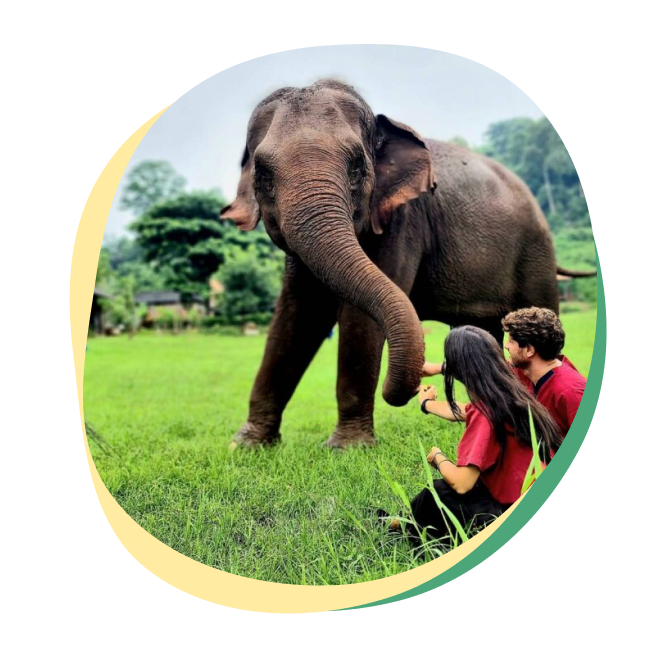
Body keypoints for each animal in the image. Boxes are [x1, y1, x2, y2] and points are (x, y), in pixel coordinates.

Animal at [220, 79, 594, 449]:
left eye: (357, 167)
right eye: (263, 175)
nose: (415, 385)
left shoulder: (403, 222)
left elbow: (358, 320)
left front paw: (347, 448)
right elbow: (298, 316)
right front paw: (247, 445)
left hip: (535, 254)